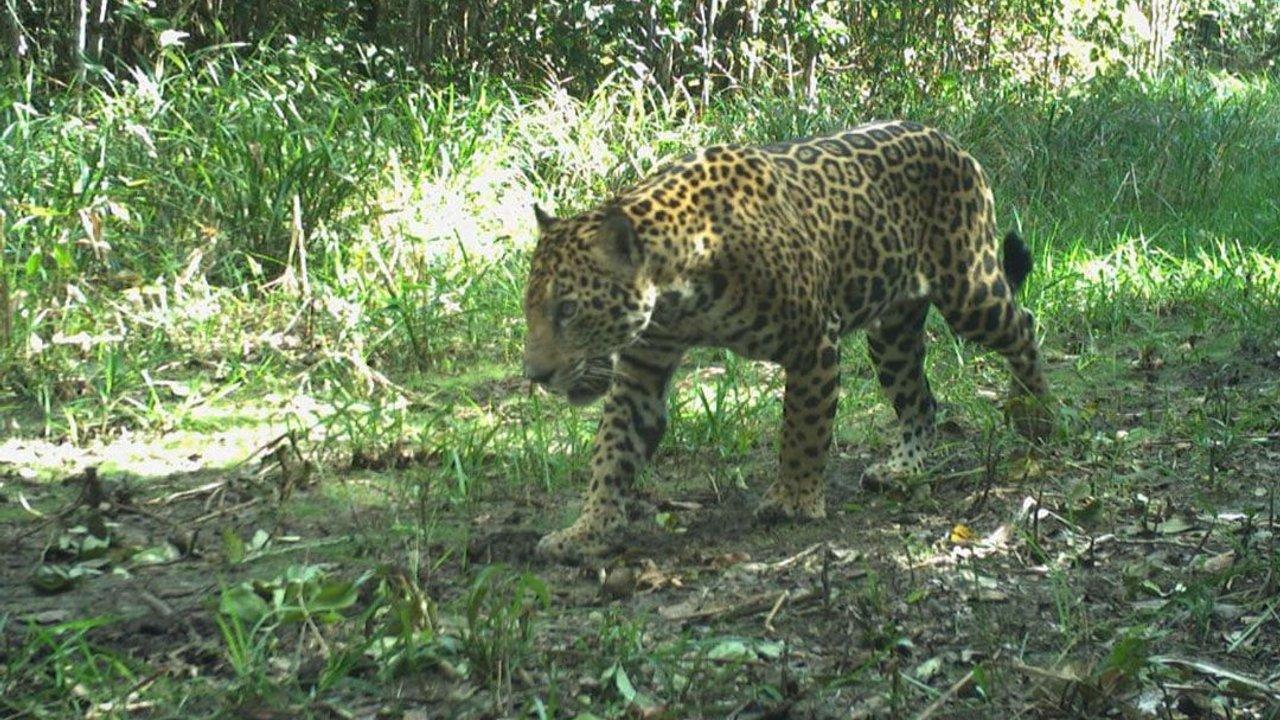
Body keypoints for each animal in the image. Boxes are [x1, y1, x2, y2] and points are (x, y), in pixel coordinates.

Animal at [521, 120, 1053, 563]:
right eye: (532, 308)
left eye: (567, 309)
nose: (535, 374)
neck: (677, 286)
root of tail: (950, 141)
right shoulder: (641, 370)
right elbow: (612, 452)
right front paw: (588, 530)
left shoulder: (813, 341)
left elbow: (802, 428)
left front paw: (793, 500)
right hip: (891, 335)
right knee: (919, 400)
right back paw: (902, 469)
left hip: (970, 292)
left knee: (1023, 325)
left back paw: (1036, 417)